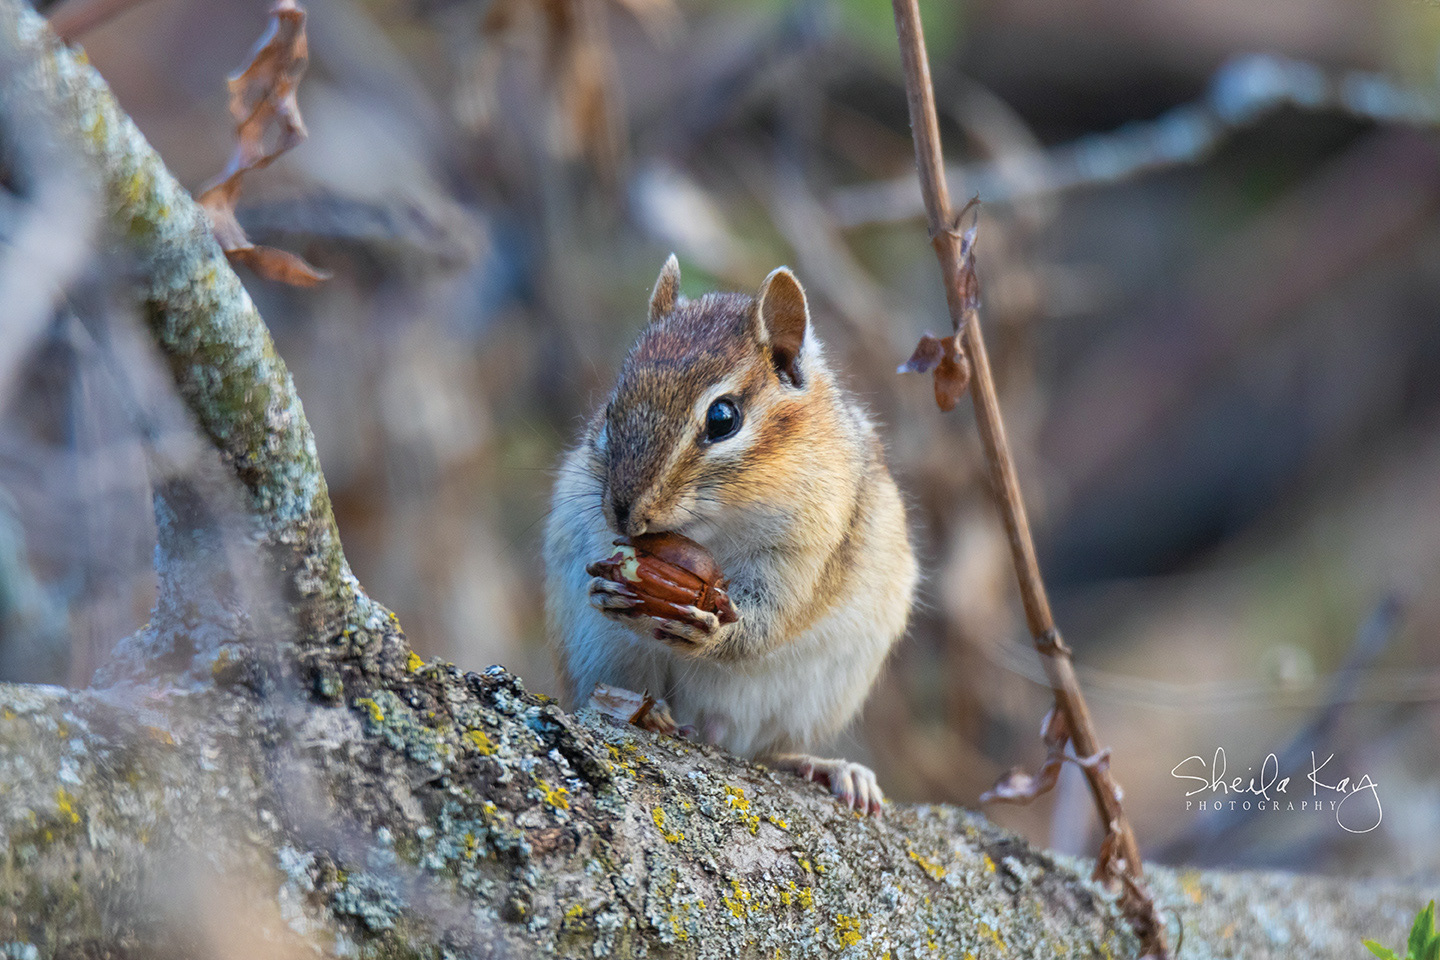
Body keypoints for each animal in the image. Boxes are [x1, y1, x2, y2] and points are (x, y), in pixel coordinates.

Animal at [544, 255, 917, 816]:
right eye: (611, 410)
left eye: (723, 418)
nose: (625, 517)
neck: (715, 527)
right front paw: (606, 588)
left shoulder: (810, 550)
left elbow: (770, 621)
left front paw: (712, 631)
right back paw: (654, 715)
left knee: (766, 750)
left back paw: (830, 769)